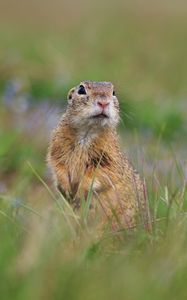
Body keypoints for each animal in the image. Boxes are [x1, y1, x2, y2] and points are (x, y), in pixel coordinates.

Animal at [46, 81, 150, 231]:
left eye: (114, 92)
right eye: (81, 89)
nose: (103, 102)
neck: (87, 132)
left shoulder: (109, 157)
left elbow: (101, 173)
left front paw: (80, 190)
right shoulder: (57, 147)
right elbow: (58, 165)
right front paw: (66, 188)